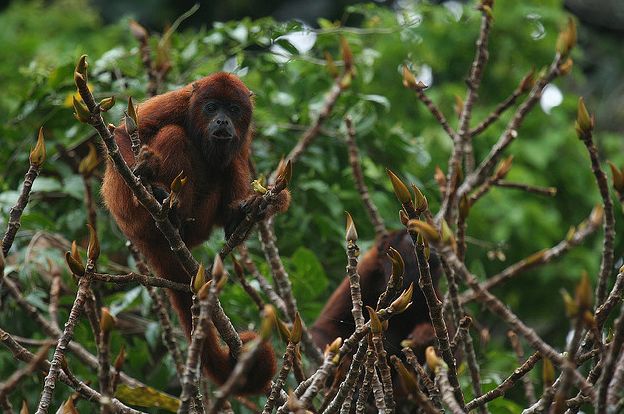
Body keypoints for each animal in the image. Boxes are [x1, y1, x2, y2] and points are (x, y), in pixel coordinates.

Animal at [101, 72, 288, 394]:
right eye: (211, 108)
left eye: (233, 110)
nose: (222, 121)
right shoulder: (178, 100)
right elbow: (124, 133)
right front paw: (144, 170)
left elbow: (238, 158)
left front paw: (264, 203)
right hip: (131, 213)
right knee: (174, 135)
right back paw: (162, 201)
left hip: (200, 222)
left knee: (232, 161)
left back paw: (238, 216)